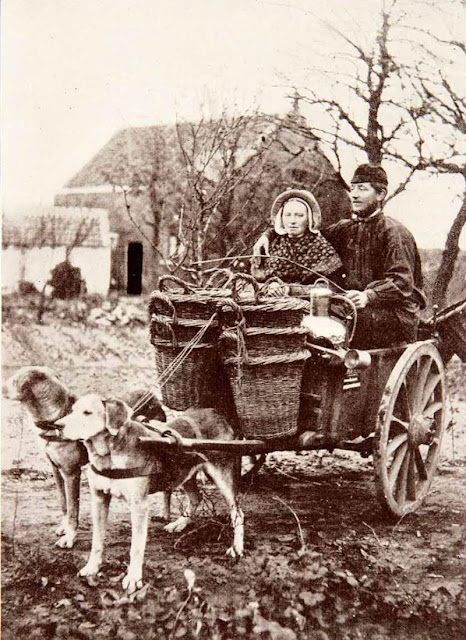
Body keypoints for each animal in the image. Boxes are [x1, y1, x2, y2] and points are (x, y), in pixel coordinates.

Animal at [3, 368, 167, 548]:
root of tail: (152, 395)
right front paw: (64, 527)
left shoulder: (71, 473)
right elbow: (64, 504)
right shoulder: (56, 470)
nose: (2, 388)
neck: (55, 418)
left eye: (14, 380)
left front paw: (69, 536)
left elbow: (73, 508)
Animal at [56, 396, 244, 596]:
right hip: (183, 473)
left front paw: (133, 577)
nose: (57, 425)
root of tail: (217, 414)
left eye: (87, 412)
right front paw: (92, 567)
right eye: (72, 410)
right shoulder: (99, 498)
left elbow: (136, 547)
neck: (109, 453)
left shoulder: (139, 505)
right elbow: (97, 541)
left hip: (222, 476)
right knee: (196, 498)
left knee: (237, 513)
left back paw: (237, 547)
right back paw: (179, 524)